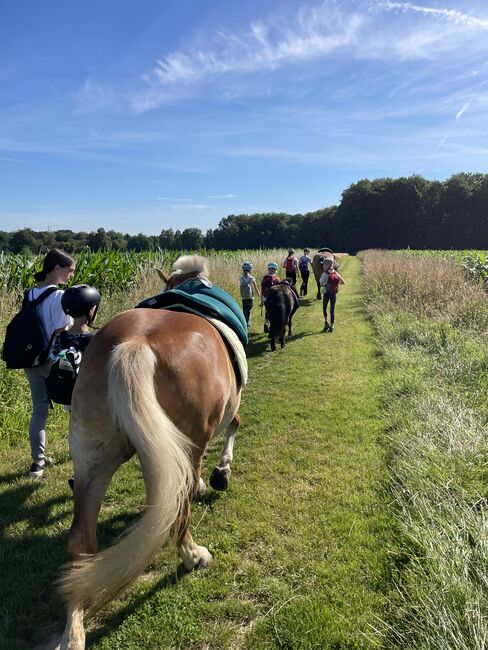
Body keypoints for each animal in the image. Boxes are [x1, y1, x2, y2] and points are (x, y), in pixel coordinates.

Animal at [58, 256, 244, 648]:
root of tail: (135, 343)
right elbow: (234, 424)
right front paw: (220, 474)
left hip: (91, 456)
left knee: (81, 540)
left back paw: (73, 632)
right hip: (188, 443)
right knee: (180, 508)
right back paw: (193, 555)